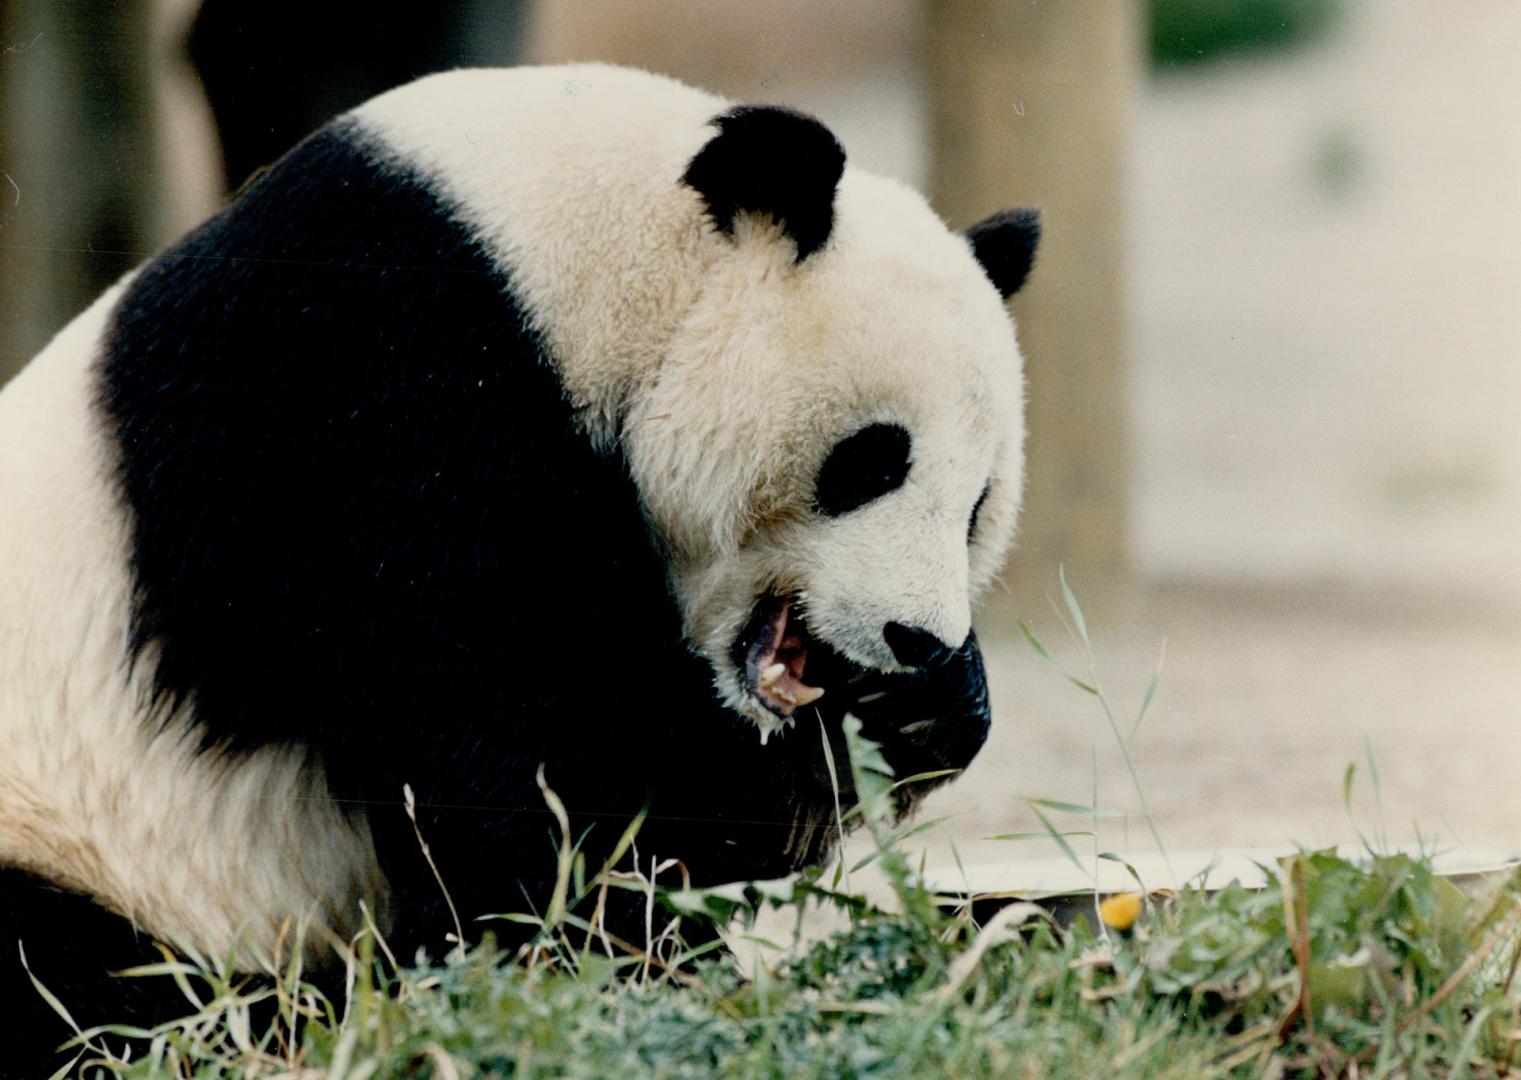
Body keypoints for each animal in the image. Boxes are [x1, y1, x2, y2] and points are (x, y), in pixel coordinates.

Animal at [0, 65, 1034, 1076]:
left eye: (976, 507)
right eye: (871, 461)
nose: (913, 638)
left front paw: (925, 708)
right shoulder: (387, 392)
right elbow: (525, 763)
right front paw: (622, 976)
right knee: (60, 970)